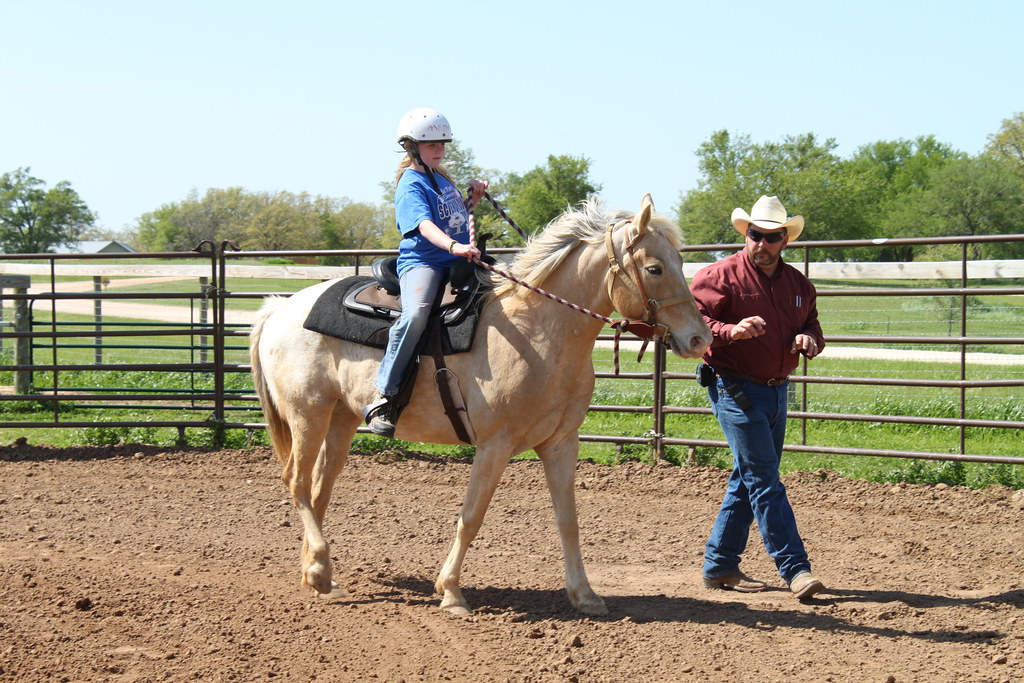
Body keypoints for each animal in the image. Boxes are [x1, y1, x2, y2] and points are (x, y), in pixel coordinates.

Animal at [249, 194, 712, 616]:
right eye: (654, 268)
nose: (700, 339)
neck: (538, 330)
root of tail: (280, 308)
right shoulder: (495, 445)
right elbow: (471, 516)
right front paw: (451, 592)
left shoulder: (562, 443)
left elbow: (568, 520)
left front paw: (584, 595)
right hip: (307, 414)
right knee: (296, 482)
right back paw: (319, 571)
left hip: (341, 418)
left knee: (319, 489)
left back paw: (316, 574)